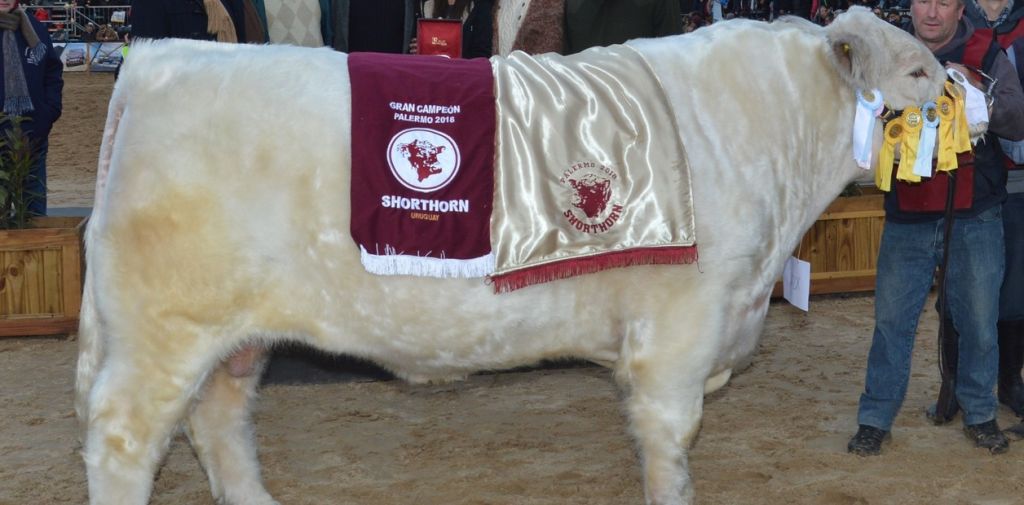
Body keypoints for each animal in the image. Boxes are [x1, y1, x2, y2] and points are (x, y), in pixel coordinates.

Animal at [77, 7, 942, 503]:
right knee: (123, 436)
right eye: (919, 70)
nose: (964, 86)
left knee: (219, 419)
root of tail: (158, 58)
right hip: (163, 328)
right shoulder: (678, 335)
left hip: (234, 332)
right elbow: (671, 448)